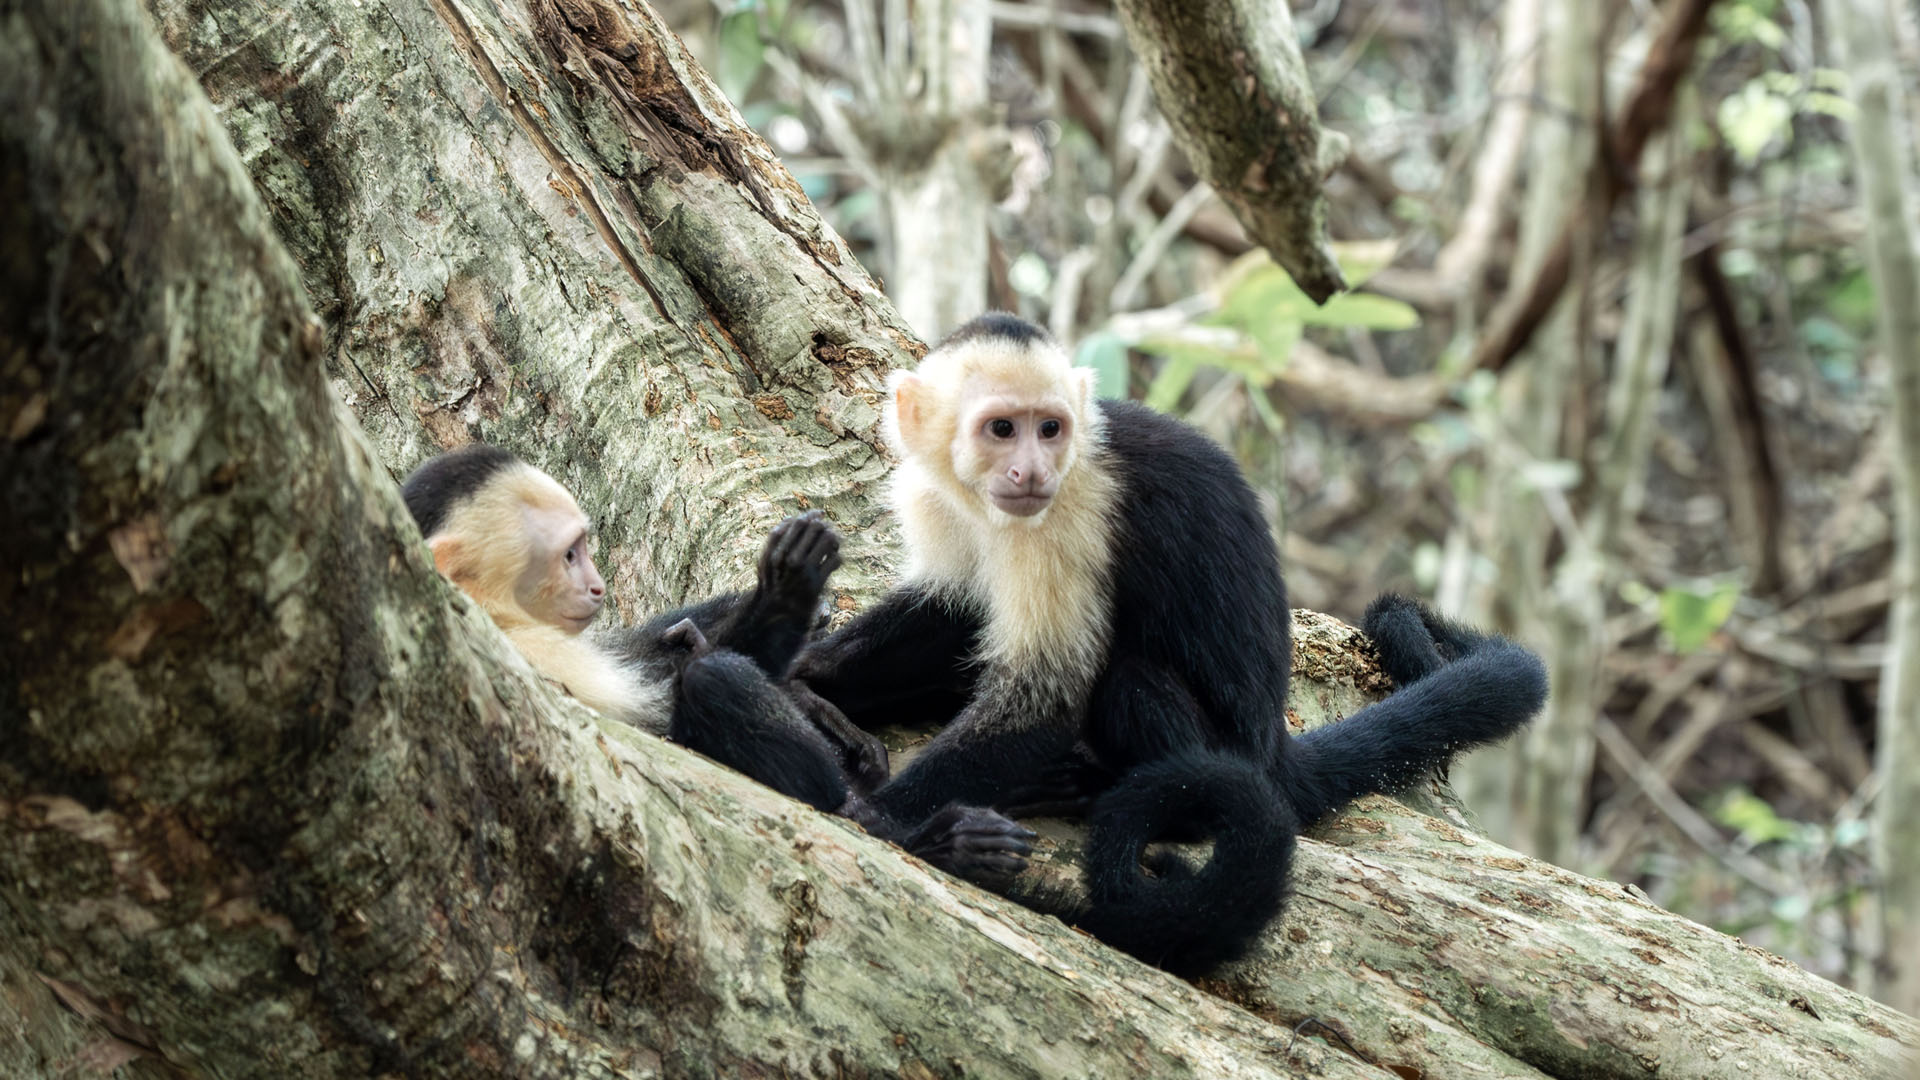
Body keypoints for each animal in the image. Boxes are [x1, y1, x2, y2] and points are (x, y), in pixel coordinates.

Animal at [400, 444, 1031, 881]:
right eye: (569, 556)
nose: (598, 587)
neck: (494, 612)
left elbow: (665, 648)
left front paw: (800, 666)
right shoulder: (525, 647)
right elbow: (664, 703)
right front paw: (786, 595)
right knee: (711, 682)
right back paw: (916, 837)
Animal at [789, 313, 1549, 976]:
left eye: (1049, 429)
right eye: (1002, 429)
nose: (1031, 470)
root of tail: (1273, 752)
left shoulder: (1074, 515)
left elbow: (1043, 701)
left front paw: (881, 816)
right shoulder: (934, 493)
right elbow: (950, 611)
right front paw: (806, 679)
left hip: (1224, 754)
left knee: (1132, 680)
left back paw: (1096, 786)